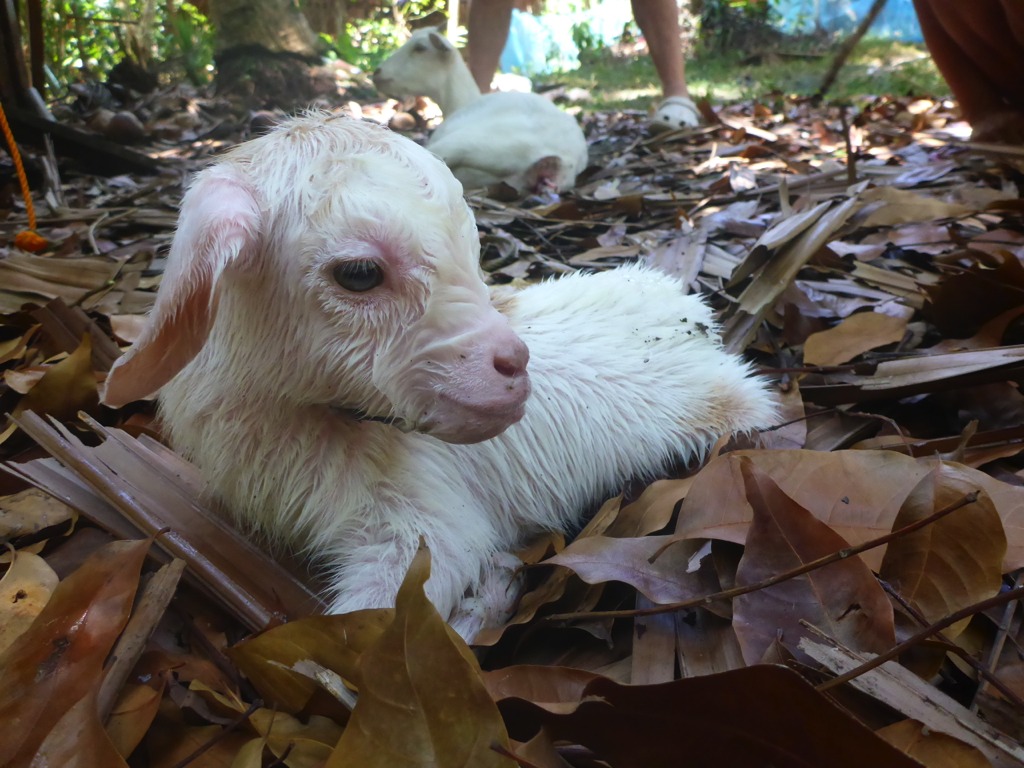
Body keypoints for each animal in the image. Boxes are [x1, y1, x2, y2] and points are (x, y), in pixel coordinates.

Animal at [103, 111, 774, 638]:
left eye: (474, 251)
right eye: (358, 273)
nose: (514, 365)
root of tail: (695, 312)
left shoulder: (426, 523)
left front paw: (490, 596)